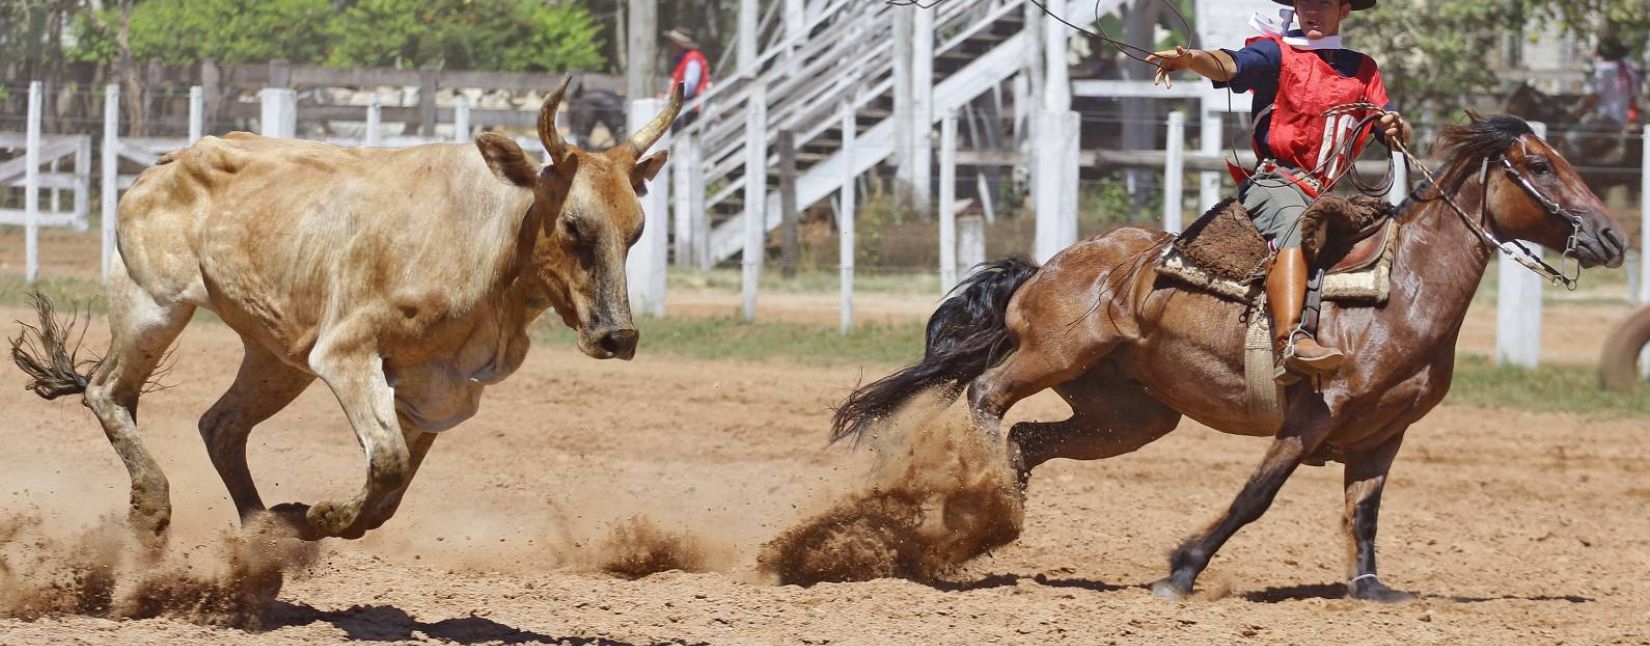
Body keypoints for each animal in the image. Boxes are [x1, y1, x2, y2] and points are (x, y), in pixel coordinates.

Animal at [12, 77, 683, 543]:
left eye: (637, 230)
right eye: (573, 226)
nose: (618, 336)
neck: (489, 239)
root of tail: (165, 163)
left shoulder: (438, 389)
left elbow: (393, 487)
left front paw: (310, 518)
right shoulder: (346, 354)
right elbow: (386, 462)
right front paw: (322, 513)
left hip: (279, 356)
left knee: (221, 425)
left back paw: (264, 532)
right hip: (153, 307)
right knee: (108, 392)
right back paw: (154, 507)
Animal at [831, 114, 1630, 599]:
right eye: (1539, 164)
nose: (1612, 236)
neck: (1398, 289)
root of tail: (1046, 267)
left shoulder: (1385, 433)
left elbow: (1365, 512)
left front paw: (1371, 588)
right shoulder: (1314, 417)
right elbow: (1255, 498)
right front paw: (1182, 570)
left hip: (1130, 416)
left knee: (1028, 438)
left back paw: (989, 517)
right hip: (1051, 355)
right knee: (987, 397)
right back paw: (981, 500)